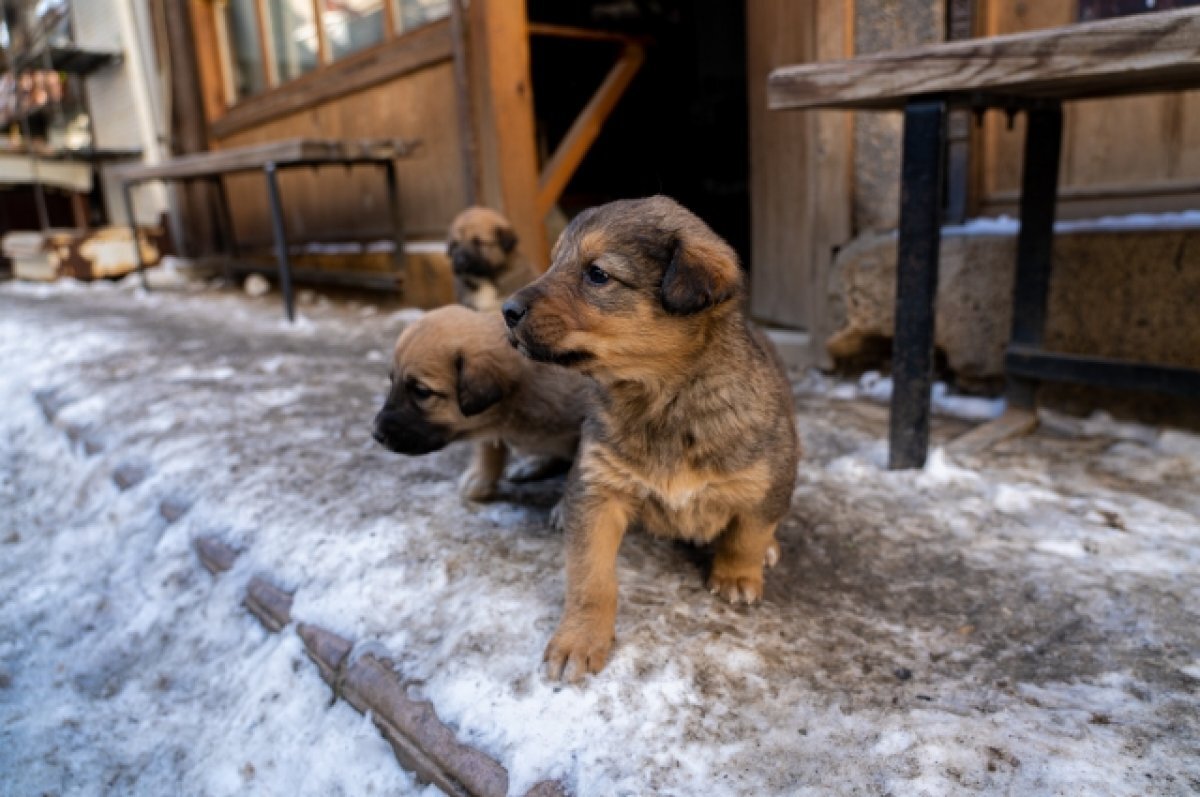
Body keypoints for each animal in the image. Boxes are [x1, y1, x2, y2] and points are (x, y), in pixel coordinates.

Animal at [501, 195, 801, 681]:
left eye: (597, 274)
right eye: (553, 263)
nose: (505, 311)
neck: (661, 401)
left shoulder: (771, 472)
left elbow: (749, 531)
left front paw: (737, 576)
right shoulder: (598, 489)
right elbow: (591, 578)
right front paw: (579, 639)